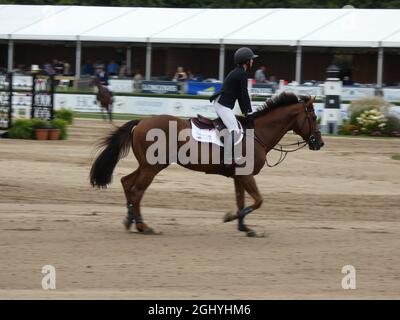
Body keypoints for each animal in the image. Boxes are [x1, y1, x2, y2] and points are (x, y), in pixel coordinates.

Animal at [90, 91, 324, 236]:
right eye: (313, 117)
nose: (319, 143)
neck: (256, 133)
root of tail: (141, 122)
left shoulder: (239, 177)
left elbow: (241, 201)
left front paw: (244, 227)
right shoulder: (246, 176)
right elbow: (258, 201)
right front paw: (230, 218)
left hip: (148, 166)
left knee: (127, 183)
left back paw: (130, 220)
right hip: (152, 167)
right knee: (137, 190)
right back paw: (142, 225)